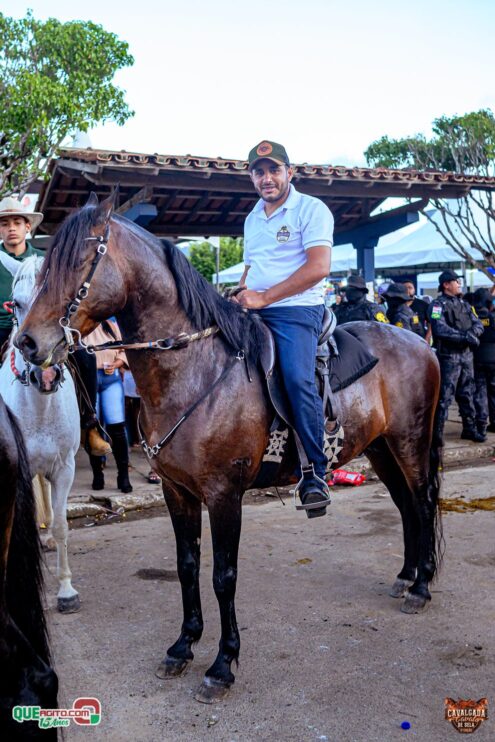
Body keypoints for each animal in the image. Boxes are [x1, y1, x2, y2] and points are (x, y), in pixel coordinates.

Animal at [16, 192, 442, 703]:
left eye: (80, 261)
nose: (27, 342)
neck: (194, 370)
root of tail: (420, 341)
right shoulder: (177, 491)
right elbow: (186, 566)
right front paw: (183, 646)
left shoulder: (223, 494)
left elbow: (223, 576)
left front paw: (222, 664)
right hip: (380, 447)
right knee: (404, 505)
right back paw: (406, 576)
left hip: (410, 442)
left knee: (422, 501)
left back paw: (422, 587)